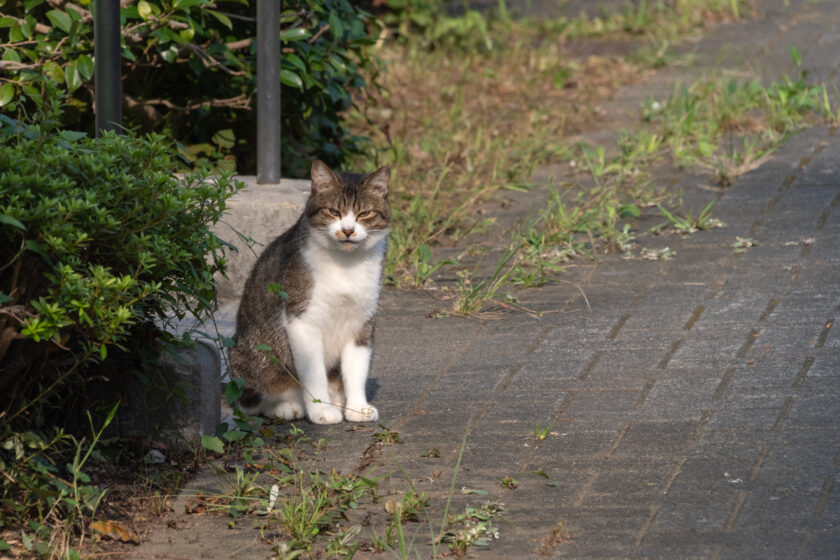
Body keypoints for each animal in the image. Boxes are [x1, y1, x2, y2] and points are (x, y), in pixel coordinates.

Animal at [231, 161, 392, 424]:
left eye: (364, 214)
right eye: (333, 211)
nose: (348, 230)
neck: (345, 264)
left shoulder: (363, 320)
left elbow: (357, 369)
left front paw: (357, 407)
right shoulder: (302, 319)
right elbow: (314, 371)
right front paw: (321, 409)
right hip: (256, 360)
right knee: (251, 403)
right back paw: (287, 407)